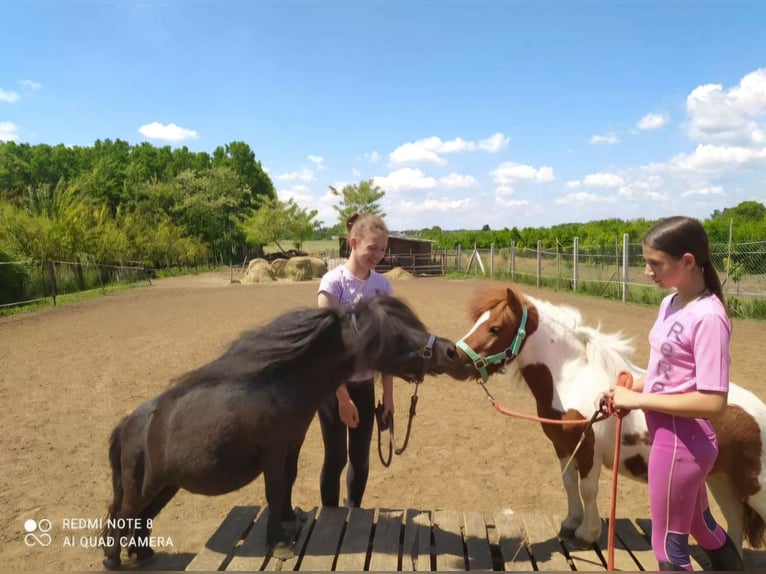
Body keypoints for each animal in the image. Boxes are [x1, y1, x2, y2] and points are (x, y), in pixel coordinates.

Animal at [102, 296, 462, 572]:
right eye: (396, 334)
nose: (451, 352)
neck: (282, 385)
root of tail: (129, 423)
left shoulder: (292, 445)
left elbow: (288, 483)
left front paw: (291, 521)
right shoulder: (273, 452)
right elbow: (274, 491)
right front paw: (278, 542)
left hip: (165, 486)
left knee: (141, 519)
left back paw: (144, 554)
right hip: (143, 487)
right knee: (122, 515)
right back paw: (112, 559)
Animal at [452, 288, 764, 560]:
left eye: (494, 328)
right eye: (479, 321)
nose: (454, 356)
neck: (571, 378)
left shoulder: (588, 448)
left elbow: (588, 489)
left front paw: (586, 534)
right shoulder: (563, 446)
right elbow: (568, 482)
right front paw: (570, 523)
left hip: (754, 486)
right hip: (720, 480)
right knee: (734, 520)